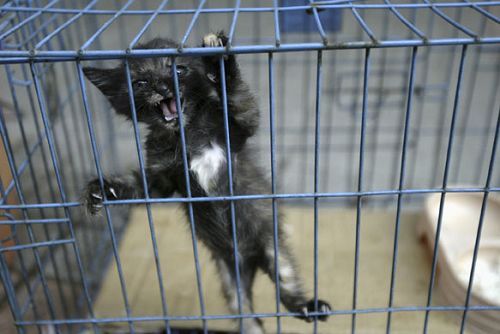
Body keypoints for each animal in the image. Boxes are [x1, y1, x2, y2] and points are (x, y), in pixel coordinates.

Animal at [83, 32, 330, 334]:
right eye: (140, 82)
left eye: (178, 69)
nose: (163, 86)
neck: (186, 133)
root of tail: (249, 260)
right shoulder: (161, 179)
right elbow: (139, 186)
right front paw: (102, 190)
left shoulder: (237, 129)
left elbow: (243, 104)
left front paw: (219, 61)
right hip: (229, 275)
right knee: (245, 314)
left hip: (270, 243)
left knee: (285, 280)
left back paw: (307, 306)